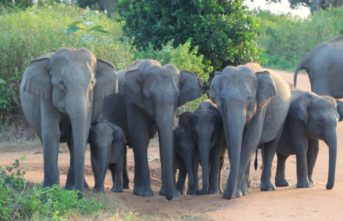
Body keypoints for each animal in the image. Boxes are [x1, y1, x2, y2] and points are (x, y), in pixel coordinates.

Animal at [20, 48, 119, 192]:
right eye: (61, 84)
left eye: (92, 83)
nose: (79, 194)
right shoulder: (46, 95)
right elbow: (52, 133)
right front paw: (51, 189)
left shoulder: (91, 102)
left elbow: (77, 136)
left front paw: (70, 190)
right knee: (44, 138)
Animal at [101, 59, 202, 200]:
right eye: (150, 97)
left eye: (177, 96)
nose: (170, 197)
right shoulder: (132, 101)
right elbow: (140, 136)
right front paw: (143, 194)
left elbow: (167, 136)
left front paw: (168, 193)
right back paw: (122, 189)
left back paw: (127, 186)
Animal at [211, 62, 292, 200]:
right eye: (223, 99)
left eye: (249, 98)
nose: (225, 195)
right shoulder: (223, 111)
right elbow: (230, 139)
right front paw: (240, 193)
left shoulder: (261, 106)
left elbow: (250, 140)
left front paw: (236, 194)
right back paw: (248, 189)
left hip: (281, 119)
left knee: (270, 146)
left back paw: (267, 188)